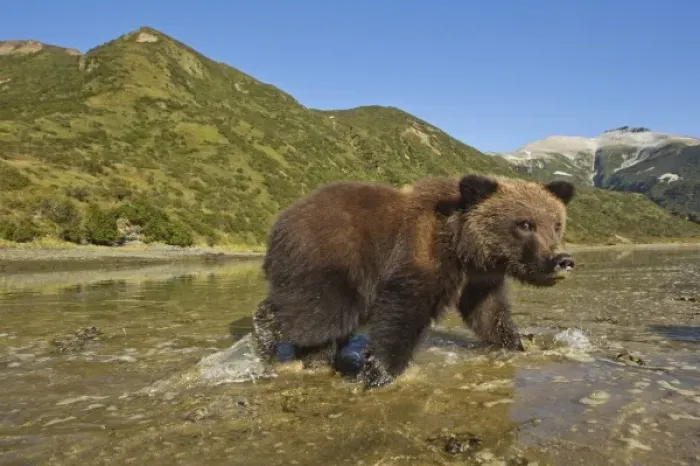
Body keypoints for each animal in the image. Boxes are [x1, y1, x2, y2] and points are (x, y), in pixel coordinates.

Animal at [252, 173, 576, 389]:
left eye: (556, 223)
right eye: (525, 224)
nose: (562, 259)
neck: (464, 247)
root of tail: (280, 221)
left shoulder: (480, 279)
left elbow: (488, 313)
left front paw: (516, 344)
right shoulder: (420, 255)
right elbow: (404, 310)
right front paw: (381, 372)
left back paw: (316, 361)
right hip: (332, 258)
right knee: (321, 314)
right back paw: (264, 337)